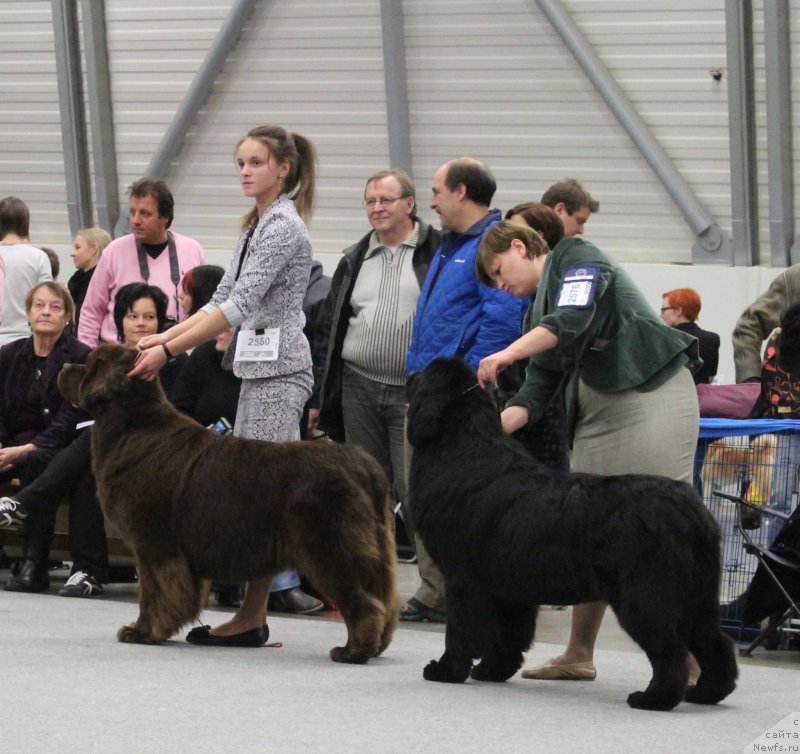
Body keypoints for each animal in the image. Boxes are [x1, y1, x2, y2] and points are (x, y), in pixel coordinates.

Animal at [58, 344, 396, 660]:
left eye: (88, 365)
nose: (63, 366)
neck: (133, 426)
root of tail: (364, 465)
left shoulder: (154, 545)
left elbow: (153, 593)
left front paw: (141, 632)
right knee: (384, 598)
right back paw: (376, 646)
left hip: (329, 546)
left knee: (363, 600)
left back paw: (353, 651)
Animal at [406, 356, 736, 708]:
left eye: (424, 374)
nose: (410, 375)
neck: (461, 446)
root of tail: (693, 511)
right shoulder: (510, 586)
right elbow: (510, 635)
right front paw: (493, 670)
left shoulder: (462, 579)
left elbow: (461, 630)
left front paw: (447, 669)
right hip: (697, 596)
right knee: (715, 642)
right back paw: (706, 693)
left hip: (647, 595)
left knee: (670, 648)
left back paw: (653, 698)